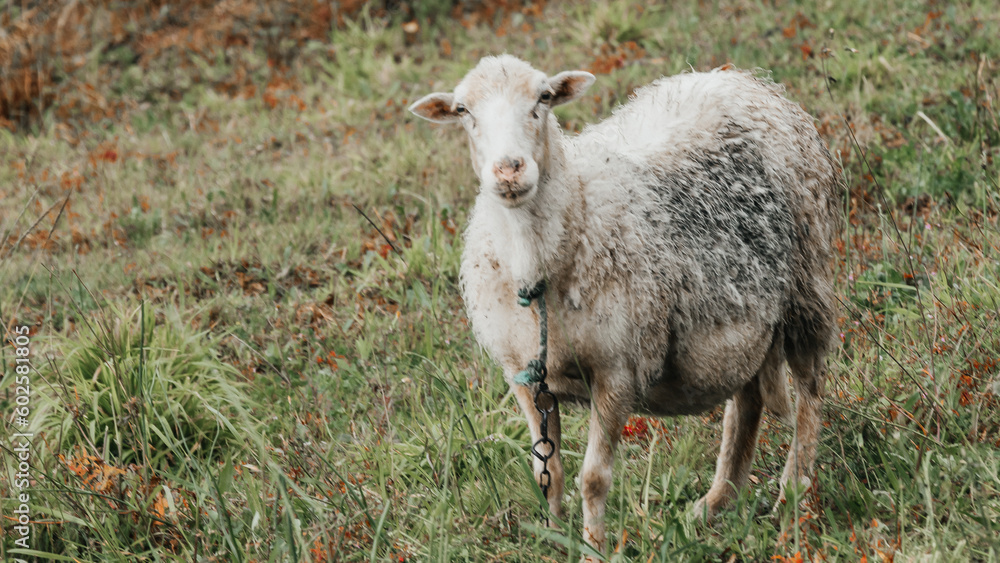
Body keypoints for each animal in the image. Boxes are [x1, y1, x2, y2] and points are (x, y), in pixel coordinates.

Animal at [410, 54, 840, 560]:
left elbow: (594, 478)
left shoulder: (616, 370)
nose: (510, 170)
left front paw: (593, 548)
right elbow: (548, 471)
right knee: (748, 401)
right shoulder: (523, 376)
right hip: (741, 316)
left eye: (544, 98)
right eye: (463, 111)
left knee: (810, 391)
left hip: (807, 288)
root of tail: (738, 79)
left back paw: (794, 497)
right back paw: (715, 504)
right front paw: (553, 536)